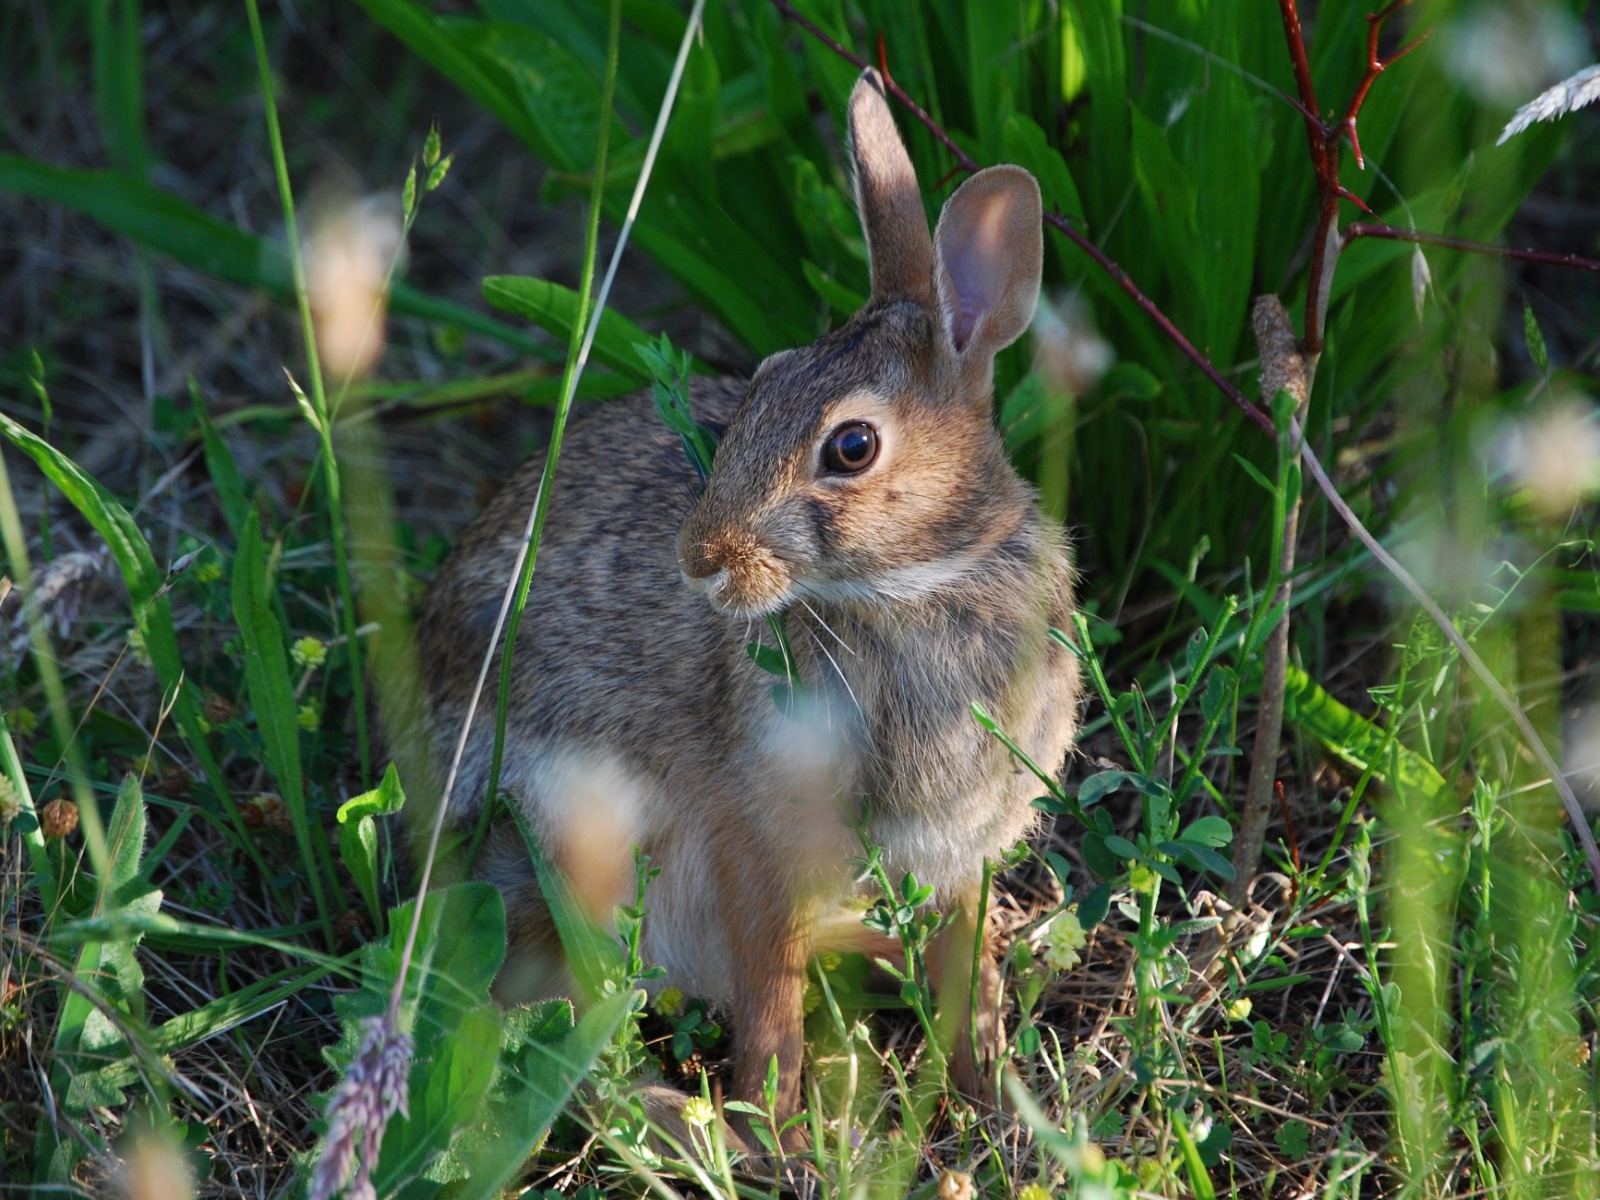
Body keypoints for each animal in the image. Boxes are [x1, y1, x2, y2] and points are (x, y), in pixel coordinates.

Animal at [419, 68, 1081, 1139]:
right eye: (762, 383)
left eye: (851, 447)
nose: (699, 559)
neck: (913, 585)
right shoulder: (754, 837)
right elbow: (769, 990)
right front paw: (776, 1122)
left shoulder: (960, 853)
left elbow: (956, 957)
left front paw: (992, 1089)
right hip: (574, 839)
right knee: (552, 1019)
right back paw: (687, 1120)